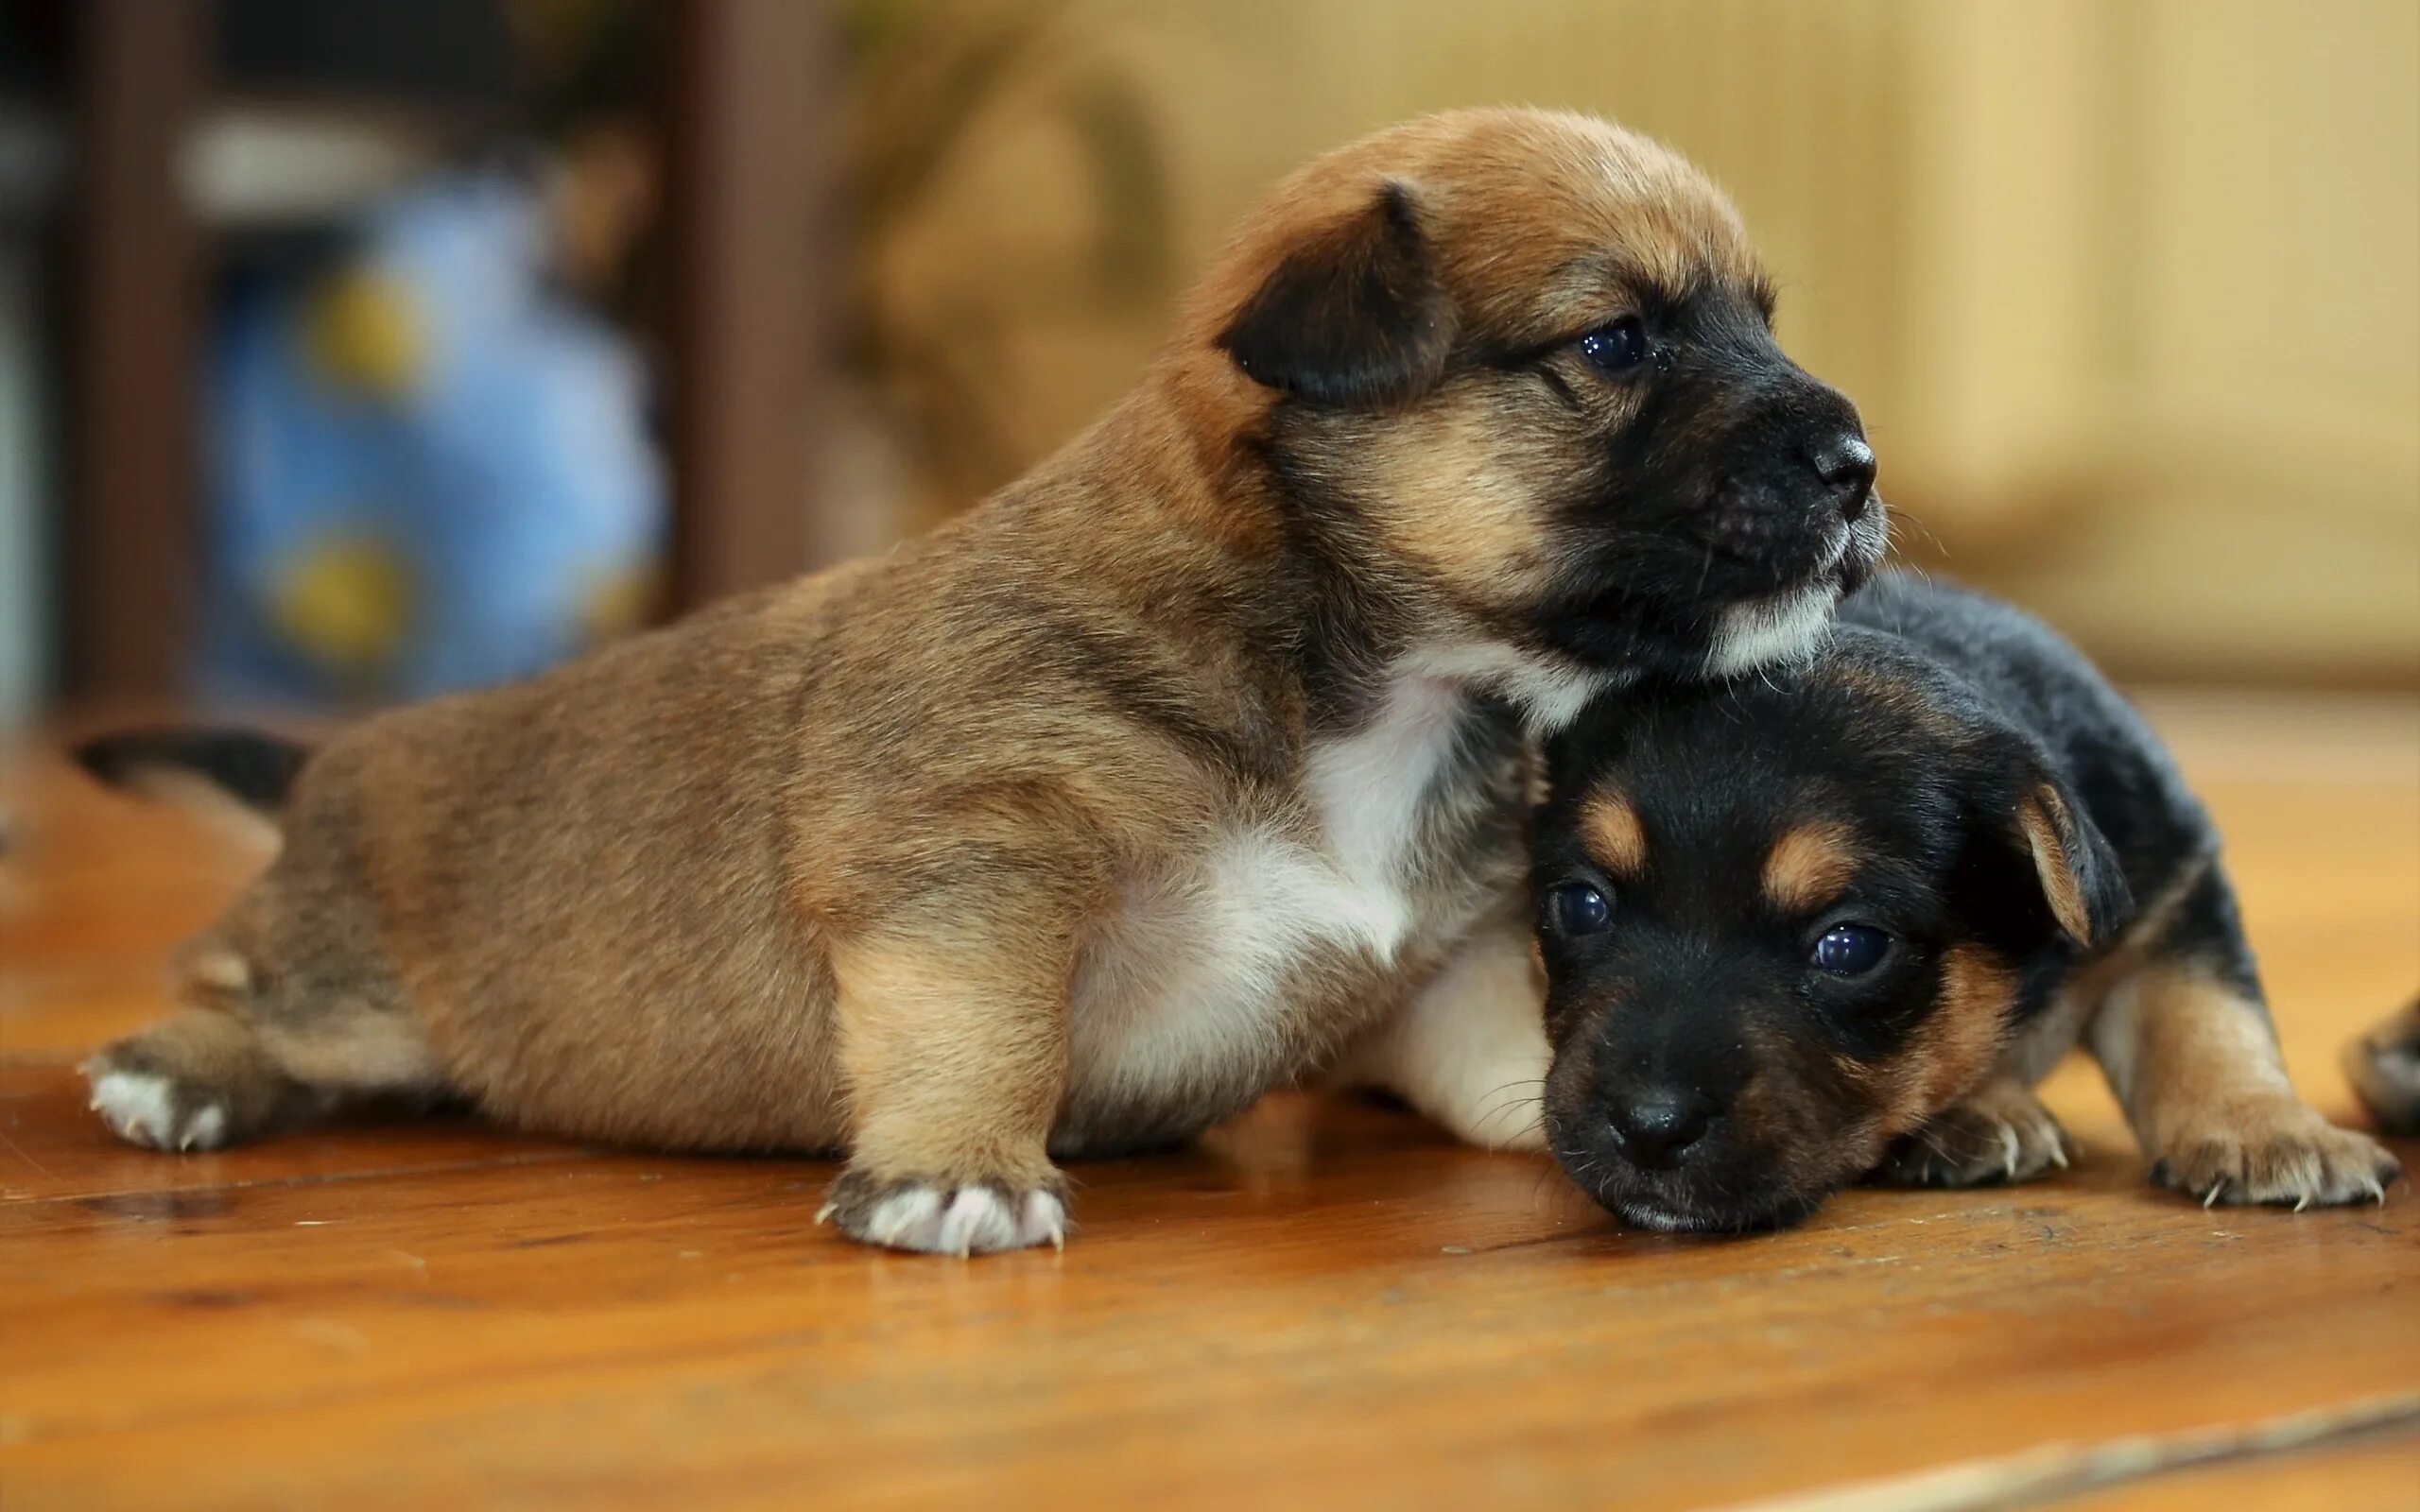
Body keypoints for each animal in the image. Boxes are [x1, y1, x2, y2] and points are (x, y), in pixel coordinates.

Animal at [70, 109, 1887, 1247]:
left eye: (1759, 319)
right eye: (1616, 344)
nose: (1861, 465)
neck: (1369, 682)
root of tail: (332, 769)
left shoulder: (1443, 983)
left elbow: (1539, 1056)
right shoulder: (974, 872)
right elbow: (985, 1030)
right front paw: (956, 1172)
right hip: (351, 978)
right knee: (235, 978)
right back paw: (181, 1071)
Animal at [1529, 571, 2400, 1233]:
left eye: (1850, 947)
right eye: (1581, 906)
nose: (1650, 1127)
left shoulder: (2172, 892)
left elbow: (2206, 1015)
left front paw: (2269, 1130)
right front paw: (1977, 1112)